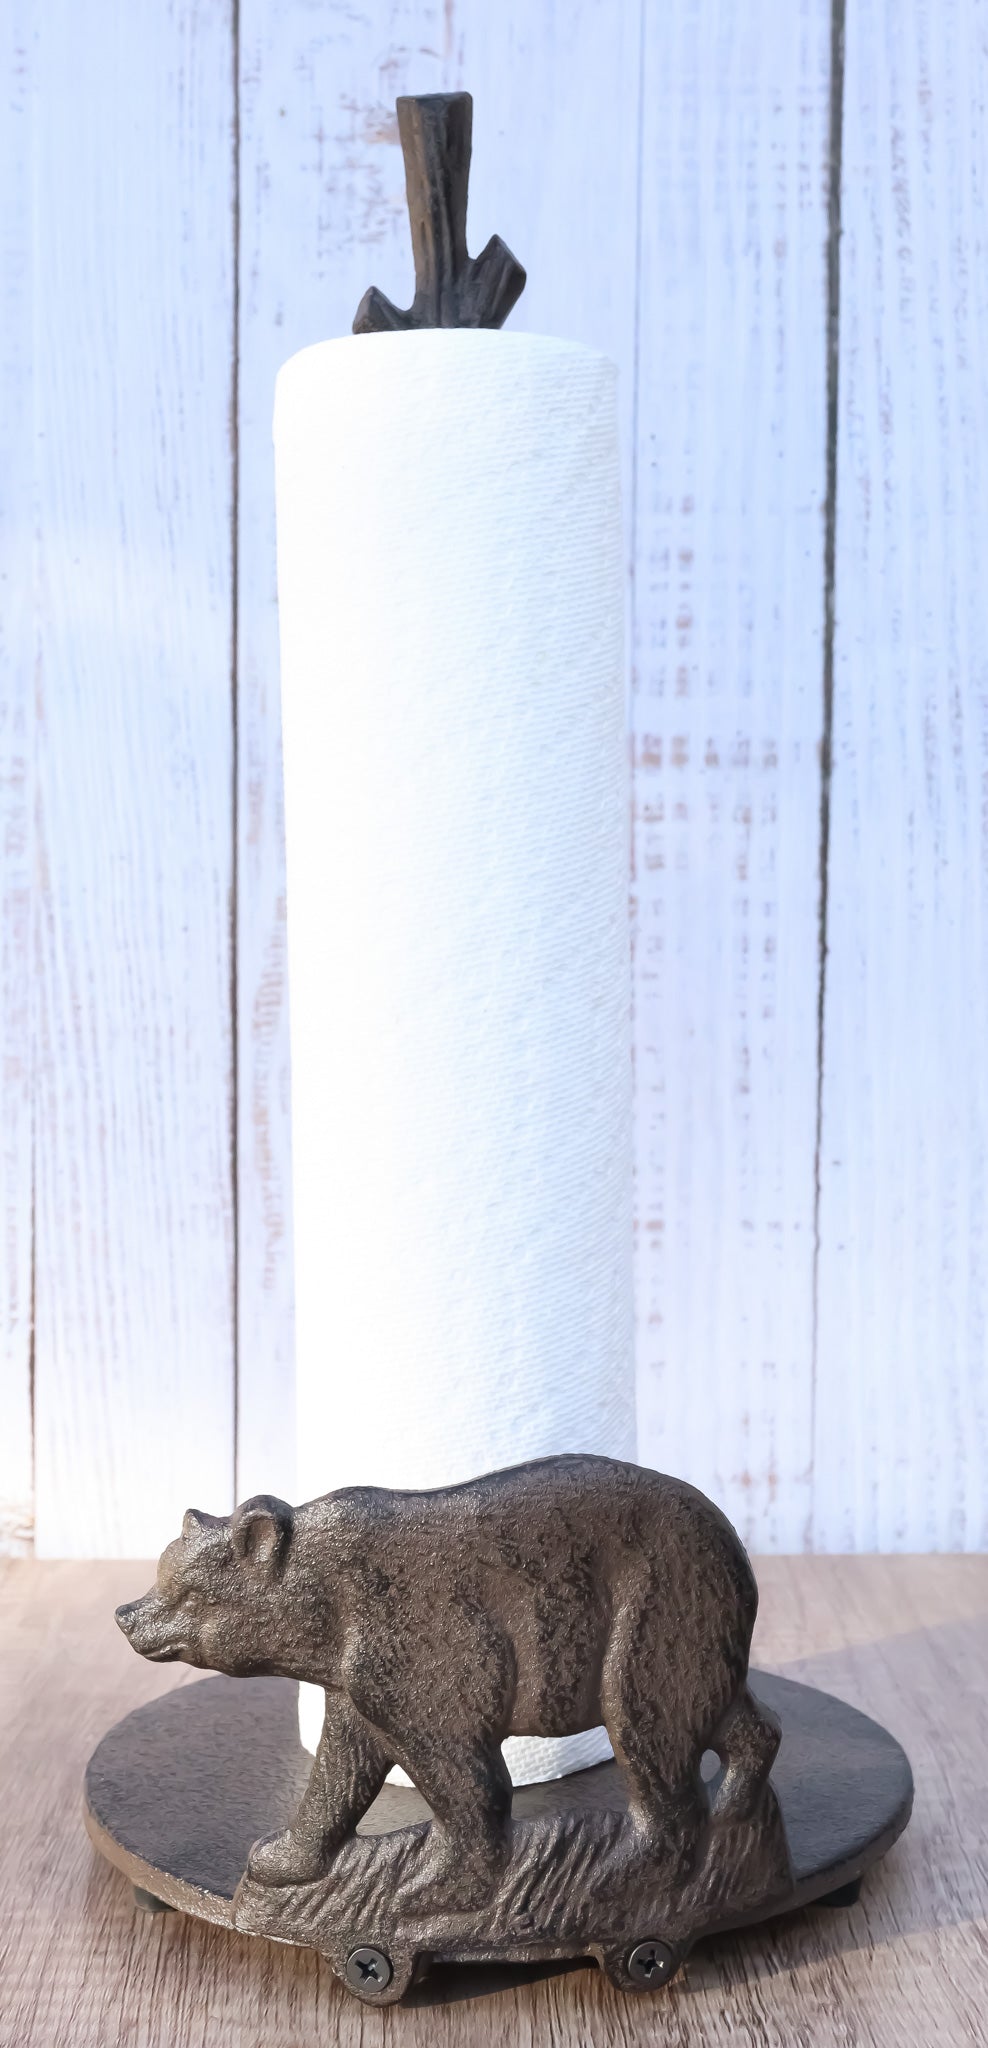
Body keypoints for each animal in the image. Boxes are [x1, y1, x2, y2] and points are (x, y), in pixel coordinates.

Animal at [116, 1454, 780, 1910]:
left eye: (183, 1591)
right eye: (161, 1576)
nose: (126, 1614)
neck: (328, 1612)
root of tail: (732, 1542)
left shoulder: (419, 1640)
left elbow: (462, 1773)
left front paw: (430, 1890)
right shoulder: (357, 1681)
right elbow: (341, 1769)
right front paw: (279, 1857)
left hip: (656, 1603)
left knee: (647, 1722)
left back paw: (622, 1876)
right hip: (701, 1627)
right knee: (727, 1716)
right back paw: (735, 1812)